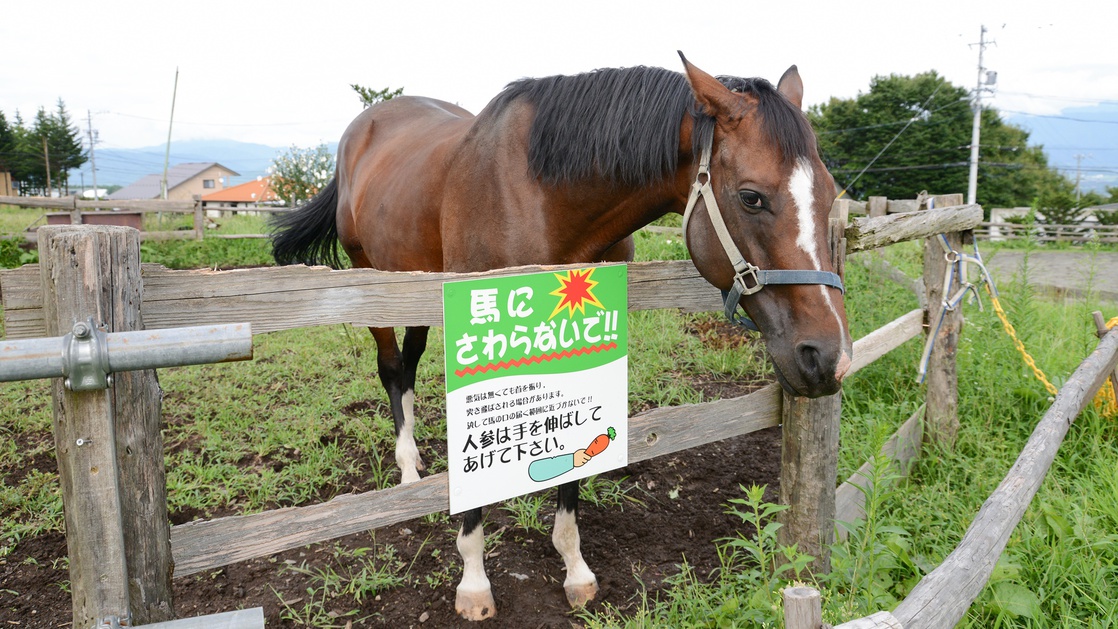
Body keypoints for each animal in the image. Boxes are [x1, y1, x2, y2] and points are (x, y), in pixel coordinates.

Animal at [275, 52, 849, 621]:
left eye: (828, 194)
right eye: (752, 197)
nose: (829, 357)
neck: (540, 196)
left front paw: (575, 569)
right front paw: (474, 583)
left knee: (410, 363)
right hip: (369, 279)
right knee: (393, 368)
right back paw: (407, 474)